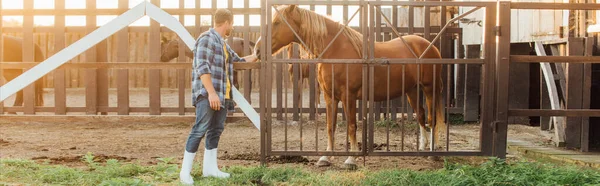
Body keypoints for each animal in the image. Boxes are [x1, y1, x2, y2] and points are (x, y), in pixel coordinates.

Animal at [253, 5, 446, 169]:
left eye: (277, 22)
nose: (257, 50)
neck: (336, 51)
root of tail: (430, 47)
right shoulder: (330, 97)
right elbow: (330, 126)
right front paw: (325, 157)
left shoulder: (349, 96)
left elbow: (351, 126)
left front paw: (351, 159)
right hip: (412, 91)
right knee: (421, 115)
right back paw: (423, 147)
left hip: (429, 89)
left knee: (432, 119)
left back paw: (433, 152)